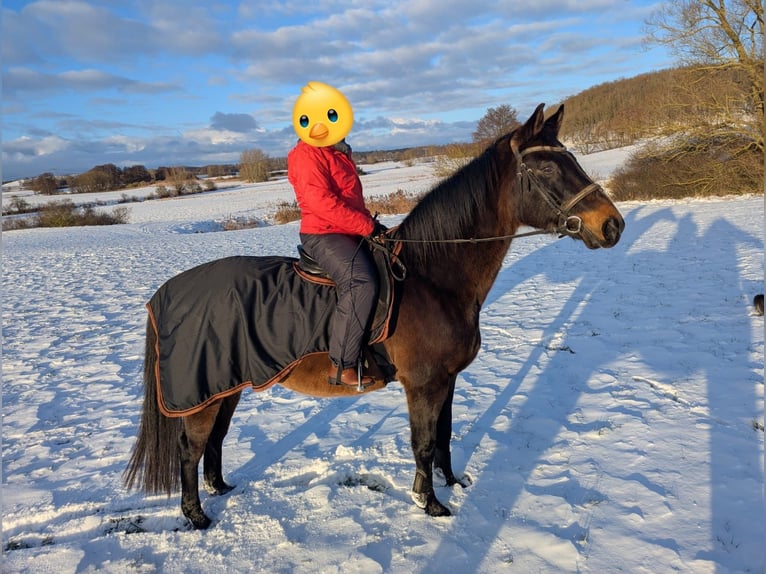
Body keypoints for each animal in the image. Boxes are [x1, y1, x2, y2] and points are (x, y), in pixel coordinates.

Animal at [124, 103, 625, 529]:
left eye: (572, 159)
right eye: (546, 169)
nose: (612, 226)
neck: (434, 278)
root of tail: (167, 292)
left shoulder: (446, 379)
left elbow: (444, 435)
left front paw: (450, 483)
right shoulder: (423, 383)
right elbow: (423, 441)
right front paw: (430, 503)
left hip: (223, 386)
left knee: (215, 440)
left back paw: (221, 489)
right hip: (202, 393)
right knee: (190, 448)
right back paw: (197, 516)